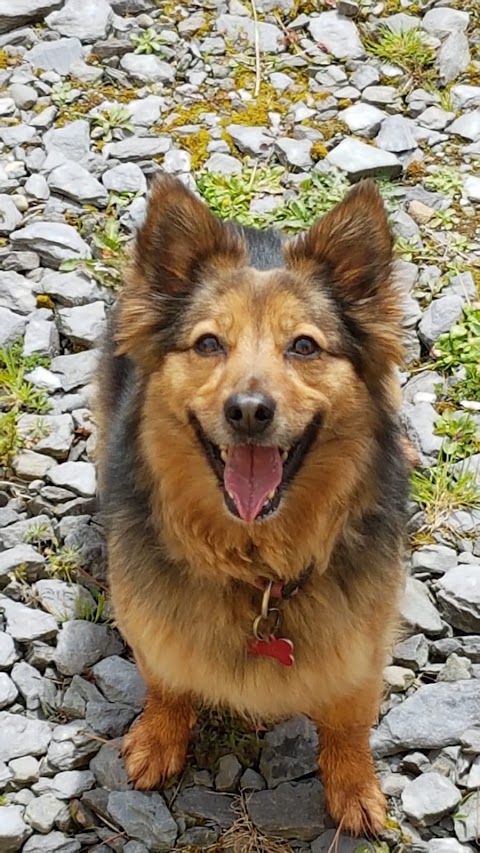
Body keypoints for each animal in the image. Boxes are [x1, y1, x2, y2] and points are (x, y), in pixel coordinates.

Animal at [96, 176, 408, 836]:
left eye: (305, 346)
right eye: (209, 343)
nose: (248, 411)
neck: (258, 563)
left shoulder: (362, 646)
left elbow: (349, 722)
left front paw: (355, 789)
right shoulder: (153, 628)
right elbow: (166, 683)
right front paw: (158, 739)